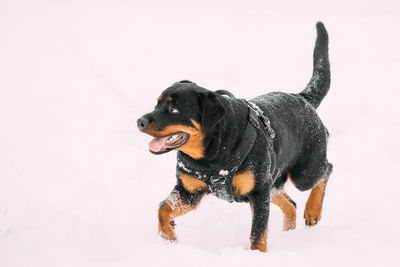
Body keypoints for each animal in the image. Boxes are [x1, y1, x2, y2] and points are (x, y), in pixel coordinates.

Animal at [137, 21, 332, 253]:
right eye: (157, 103)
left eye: (174, 109)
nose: (139, 121)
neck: (212, 155)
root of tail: (303, 98)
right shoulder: (189, 192)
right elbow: (163, 208)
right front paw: (168, 238)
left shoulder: (258, 192)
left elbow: (258, 234)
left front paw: (256, 256)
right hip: (273, 180)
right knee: (290, 203)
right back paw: (289, 230)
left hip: (303, 172)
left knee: (326, 170)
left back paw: (313, 211)